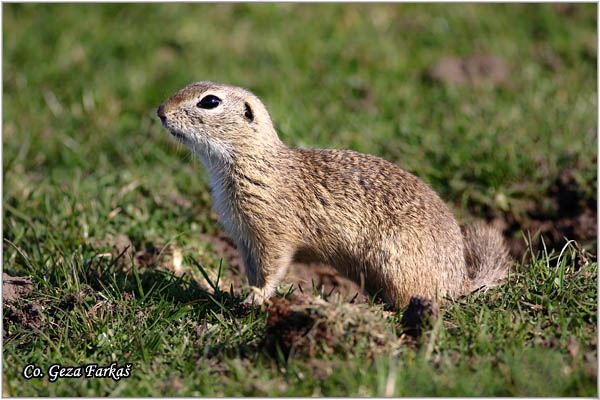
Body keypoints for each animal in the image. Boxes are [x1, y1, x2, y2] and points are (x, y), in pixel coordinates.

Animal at [156, 80, 510, 306]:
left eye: (210, 101)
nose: (160, 110)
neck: (256, 162)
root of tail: (460, 282)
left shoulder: (272, 232)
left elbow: (273, 267)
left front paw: (256, 297)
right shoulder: (244, 237)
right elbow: (254, 270)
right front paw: (241, 292)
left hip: (398, 268)